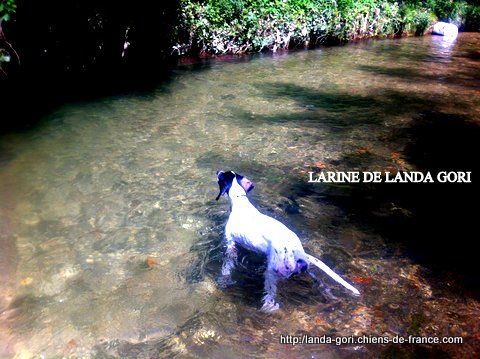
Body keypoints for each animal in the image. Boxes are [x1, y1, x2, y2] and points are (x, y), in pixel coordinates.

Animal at [216, 170, 358, 314]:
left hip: (272, 273)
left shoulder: (229, 243)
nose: (218, 171)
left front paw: (224, 279)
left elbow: (227, 266)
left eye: (222, 176)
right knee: (319, 282)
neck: (240, 202)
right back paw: (329, 294)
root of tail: (298, 252)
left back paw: (267, 308)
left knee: (271, 297)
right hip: (305, 269)